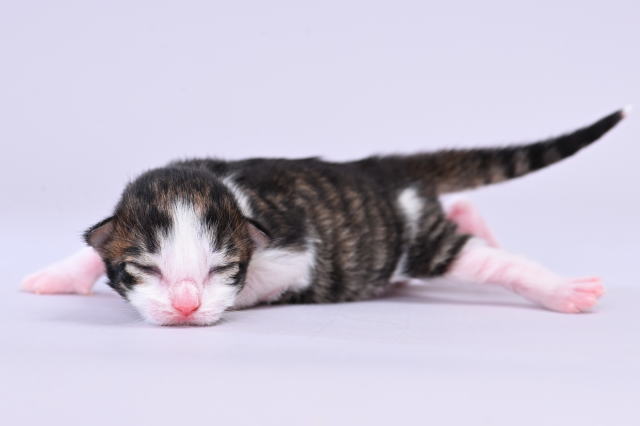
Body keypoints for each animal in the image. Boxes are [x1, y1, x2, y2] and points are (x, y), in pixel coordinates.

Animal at [21, 109, 627, 325]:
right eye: (145, 269)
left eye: (221, 269)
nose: (187, 304)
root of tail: (381, 169)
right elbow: (92, 242)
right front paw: (56, 276)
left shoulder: (293, 251)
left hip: (418, 240)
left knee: (487, 260)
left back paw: (561, 290)